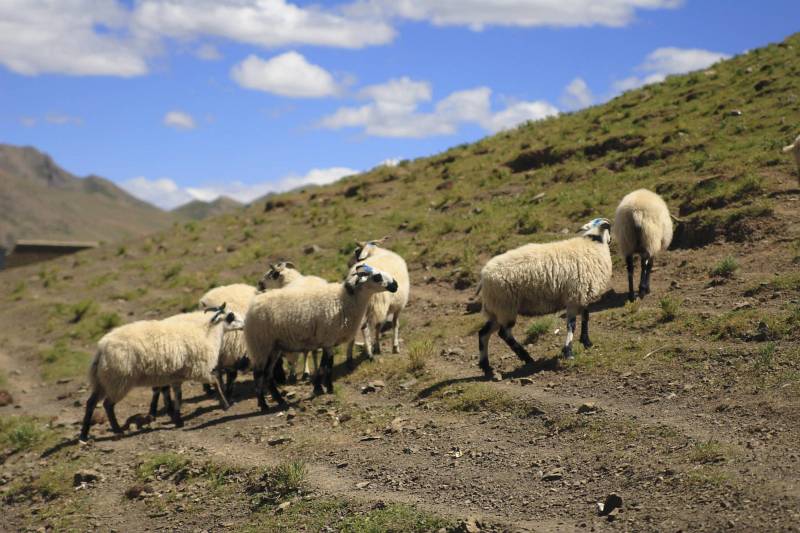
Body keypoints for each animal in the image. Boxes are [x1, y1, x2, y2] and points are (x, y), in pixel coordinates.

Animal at [81, 304, 245, 440]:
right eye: (232, 316)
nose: (245, 324)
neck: (208, 333)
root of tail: (101, 349)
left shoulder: (176, 377)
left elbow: (178, 396)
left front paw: (178, 419)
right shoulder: (199, 369)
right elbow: (215, 382)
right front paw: (225, 405)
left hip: (102, 381)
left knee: (91, 403)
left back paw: (84, 435)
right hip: (118, 380)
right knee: (108, 405)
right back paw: (117, 430)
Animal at [241, 264, 396, 410]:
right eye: (377, 277)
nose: (395, 285)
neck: (343, 301)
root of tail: (252, 307)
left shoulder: (328, 341)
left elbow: (326, 365)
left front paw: (321, 387)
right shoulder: (328, 338)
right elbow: (327, 366)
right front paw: (327, 388)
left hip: (273, 348)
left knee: (267, 375)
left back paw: (279, 400)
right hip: (260, 345)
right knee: (258, 374)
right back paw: (263, 405)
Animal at [344, 238, 410, 366]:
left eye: (356, 251)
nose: (348, 263)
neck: (375, 252)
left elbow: (379, 326)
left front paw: (377, 347)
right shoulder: (394, 307)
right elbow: (394, 324)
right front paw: (394, 347)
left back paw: (349, 358)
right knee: (365, 328)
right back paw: (369, 355)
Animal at [476, 217, 612, 378]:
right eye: (609, 227)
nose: (611, 240)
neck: (593, 243)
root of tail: (484, 276)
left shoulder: (582, 296)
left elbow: (585, 318)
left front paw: (586, 342)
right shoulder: (574, 296)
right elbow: (572, 324)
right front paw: (569, 351)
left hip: (496, 308)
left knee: (484, 333)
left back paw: (486, 367)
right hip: (505, 306)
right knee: (504, 333)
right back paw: (526, 358)